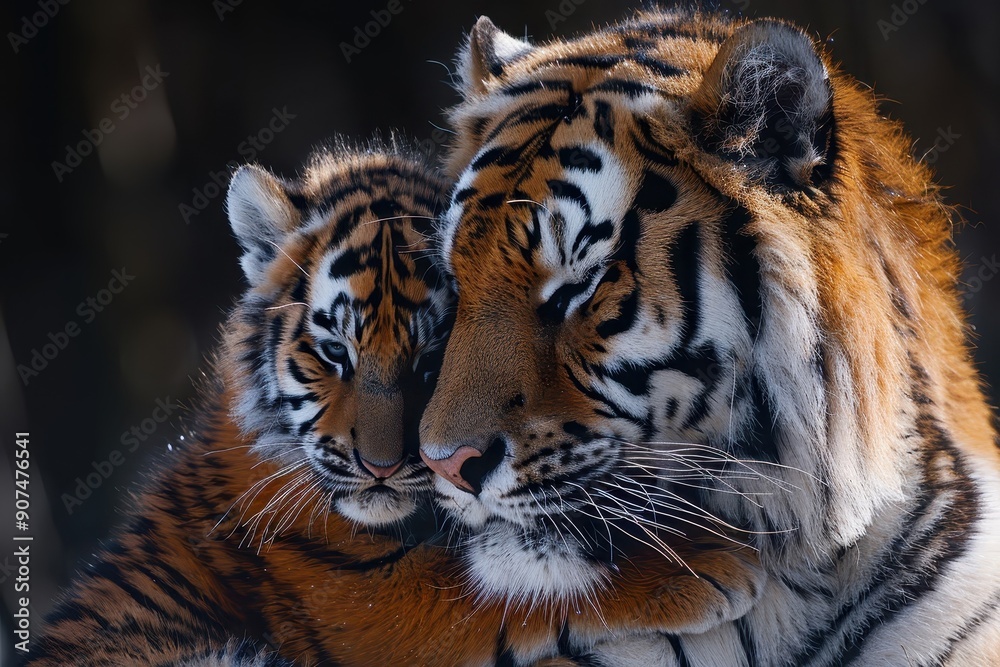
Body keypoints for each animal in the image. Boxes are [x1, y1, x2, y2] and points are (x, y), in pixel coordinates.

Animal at [25, 142, 764, 666]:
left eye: (432, 358)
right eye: (334, 351)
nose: (378, 468)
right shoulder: (367, 599)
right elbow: (490, 589)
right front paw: (708, 562)